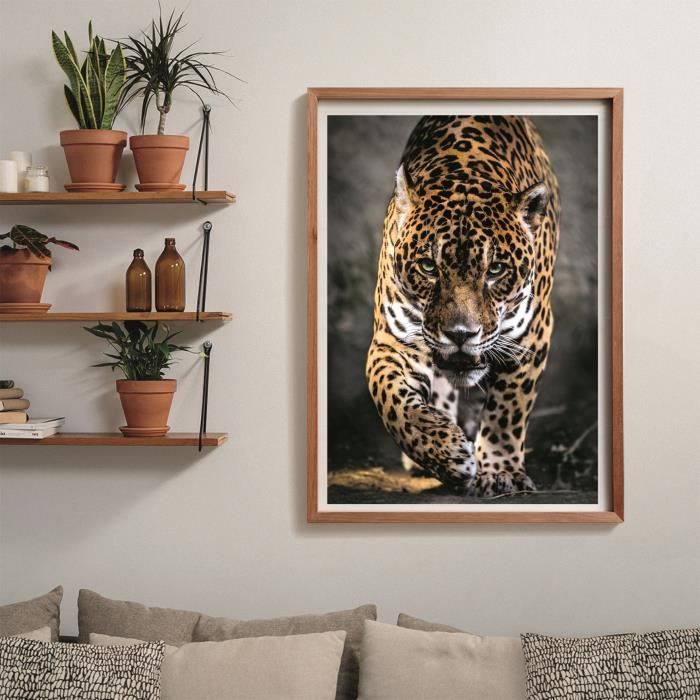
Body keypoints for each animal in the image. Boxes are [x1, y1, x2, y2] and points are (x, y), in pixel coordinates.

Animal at [365, 115, 560, 496]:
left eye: (495, 270)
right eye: (428, 266)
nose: (460, 334)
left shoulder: (531, 336)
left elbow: (507, 410)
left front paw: (500, 472)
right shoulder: (392, 340)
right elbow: (391, 399)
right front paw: (446, 453)